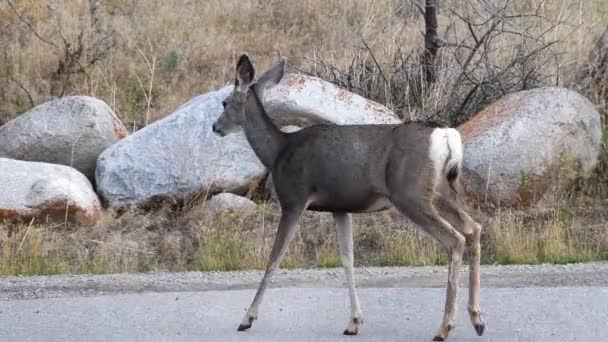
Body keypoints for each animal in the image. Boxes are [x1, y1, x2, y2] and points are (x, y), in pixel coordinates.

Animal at [210, 54, 484, 342]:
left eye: (225, 102)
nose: (215, 127)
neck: (277, 153)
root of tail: (446, 136)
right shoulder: (340, 207)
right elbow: (348, 259)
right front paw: (354, 321)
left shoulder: (294, 199)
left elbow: (275, 257)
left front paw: (247, 318)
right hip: (440, 191)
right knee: (473, 228)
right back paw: (477, 319)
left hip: (411, 194)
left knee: (455, 238)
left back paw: (444, 327)